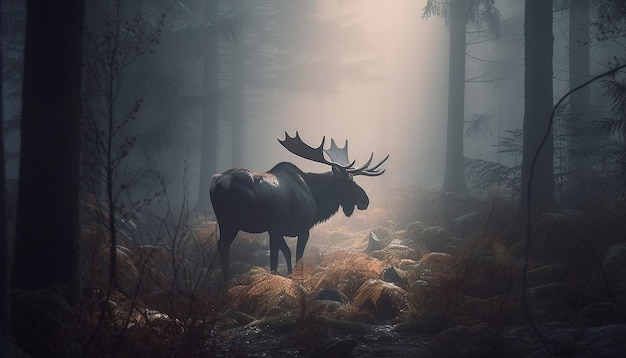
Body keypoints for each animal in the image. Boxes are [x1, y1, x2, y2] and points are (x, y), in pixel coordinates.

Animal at [208, 131, 386, 276]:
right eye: (349, 182)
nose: (365, 199)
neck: (316, 197)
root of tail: (215, 182)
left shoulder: (275, 230)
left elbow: (283, 255)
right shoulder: (302, 229)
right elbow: (295, 258)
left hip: (223, 222)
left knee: (220, 244)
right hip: (233, 222)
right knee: (224, 244)